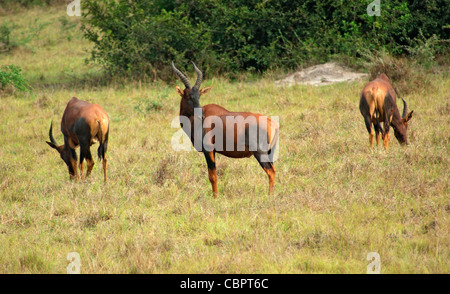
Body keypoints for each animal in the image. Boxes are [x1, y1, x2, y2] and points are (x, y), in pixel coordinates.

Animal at [172, 61, 278, 198]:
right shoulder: (214, 151)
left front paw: (215, 197)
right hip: (270, 152)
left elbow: (212, 176)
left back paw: (270, 196)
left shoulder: (208, 150)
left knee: (270, 171)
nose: (201, 115)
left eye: (199, 95)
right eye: (188, 96)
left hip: (260, 153)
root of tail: (272, 123)